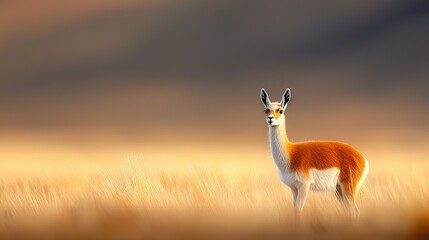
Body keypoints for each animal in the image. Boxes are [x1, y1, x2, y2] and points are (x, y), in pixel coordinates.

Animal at [260, 88, 370, 218]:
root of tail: (362, 158)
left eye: (280, 110)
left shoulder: (304, 186)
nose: (270, 118)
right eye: (266, 110)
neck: (291, 154)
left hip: (347, 189)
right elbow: (295, 210)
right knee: (354, 211)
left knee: (353, 211)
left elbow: (298, 210)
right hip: (339, 190)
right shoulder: (294, 188)